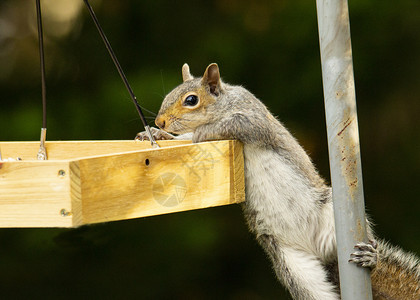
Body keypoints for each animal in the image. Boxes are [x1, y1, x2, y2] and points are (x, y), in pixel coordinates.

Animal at [136, 63, 418, 300]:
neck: (224, 103)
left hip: (332, 214)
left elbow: (214, 130)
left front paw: (183, 134)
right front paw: (155, 134)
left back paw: (370, 256)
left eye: (191, 100)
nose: (160, 121)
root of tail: (322, 254)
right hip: (294, 267)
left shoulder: (253, 119)